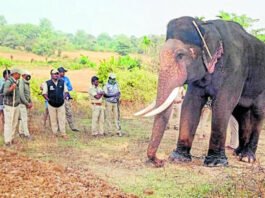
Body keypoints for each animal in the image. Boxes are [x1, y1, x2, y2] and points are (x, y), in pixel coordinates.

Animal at [135, 16, 264, 167]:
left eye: (180, 55)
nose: (159, 161)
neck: (207, 25)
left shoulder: (235, 69)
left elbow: (222, 104)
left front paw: (215, 163)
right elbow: (191, 102)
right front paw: (178, 158)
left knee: (257, 113)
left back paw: (247, 157)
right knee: (240, 113)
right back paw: (238, 153)